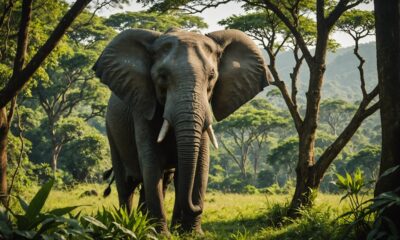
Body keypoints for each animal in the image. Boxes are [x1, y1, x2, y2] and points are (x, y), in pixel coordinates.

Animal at [92, 27, 272, 233]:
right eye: (162, 77)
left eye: (211, 77)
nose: (198, 206)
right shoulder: (142, 108)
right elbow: (151, 163)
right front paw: (160, 235)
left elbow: (200, 163)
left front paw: (191, 233)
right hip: (111, 131)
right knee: (127, 184)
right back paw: (127, 223)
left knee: (160, 181)